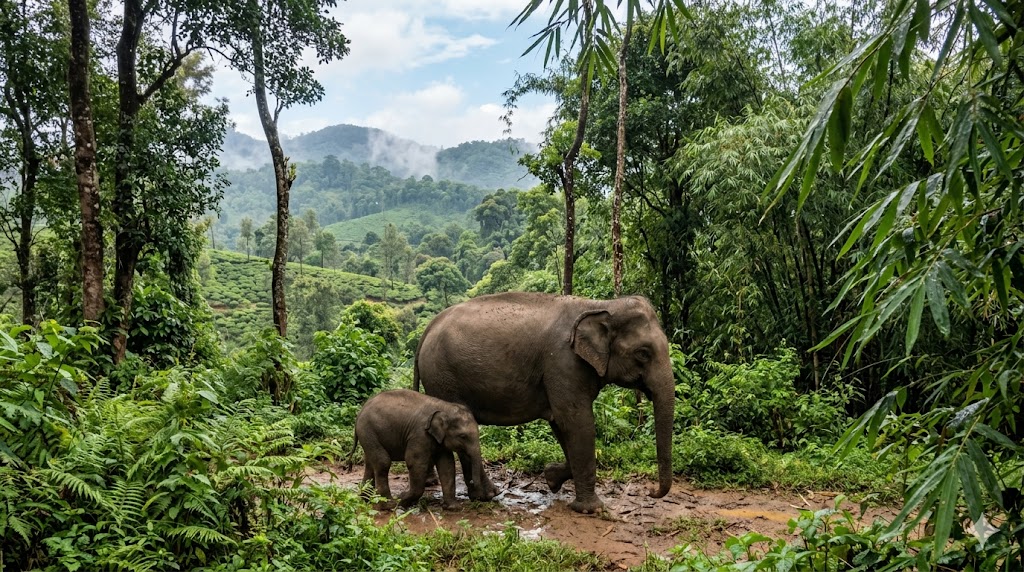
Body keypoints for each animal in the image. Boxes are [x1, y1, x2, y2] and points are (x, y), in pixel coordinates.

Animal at [345, 389, 496, 508]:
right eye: (463, 436)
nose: (471, 482)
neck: (444, 406)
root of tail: (360, 413)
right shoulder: (419, 435)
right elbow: (415, 462)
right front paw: (402, 499)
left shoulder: (439, 440)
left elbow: (447, 465)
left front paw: (453, 507)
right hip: (368, 431)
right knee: (383, 462)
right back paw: (389, 505)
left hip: (368, 435)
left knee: (370, 463)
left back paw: (365, 500)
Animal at [413, 292, 675, 514]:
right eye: (643, 353)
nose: (651, 492)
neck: (602, 304)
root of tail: (428, 328)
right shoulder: (563, 363)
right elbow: (577, 422)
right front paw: (592, 510)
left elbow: (561, 424)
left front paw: (551, 478)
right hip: (443, 377)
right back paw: (487, 495)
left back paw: (484, 495)